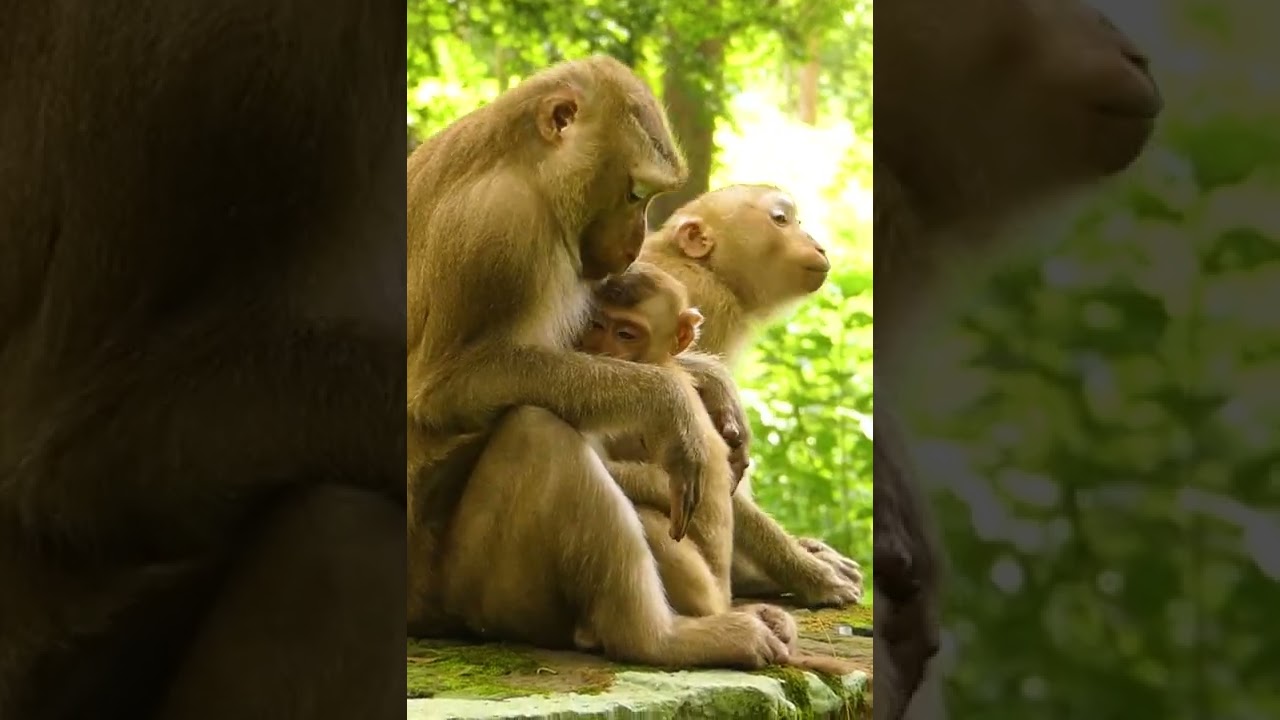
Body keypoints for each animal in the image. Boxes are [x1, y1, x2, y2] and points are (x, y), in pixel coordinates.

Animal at [405, 55, 794, 670]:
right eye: (635, 193)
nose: (636, 243)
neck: (524, 166)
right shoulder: (499, 230)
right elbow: (442, 390)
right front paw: (671, 402)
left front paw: (706, 379)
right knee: (537, 430)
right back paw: (657, 637)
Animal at [634, 184, 865, 608]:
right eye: (781, 220)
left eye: (796, 220)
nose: (818, 245)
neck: (709, 271)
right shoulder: (706, 302)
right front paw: (808, 573)